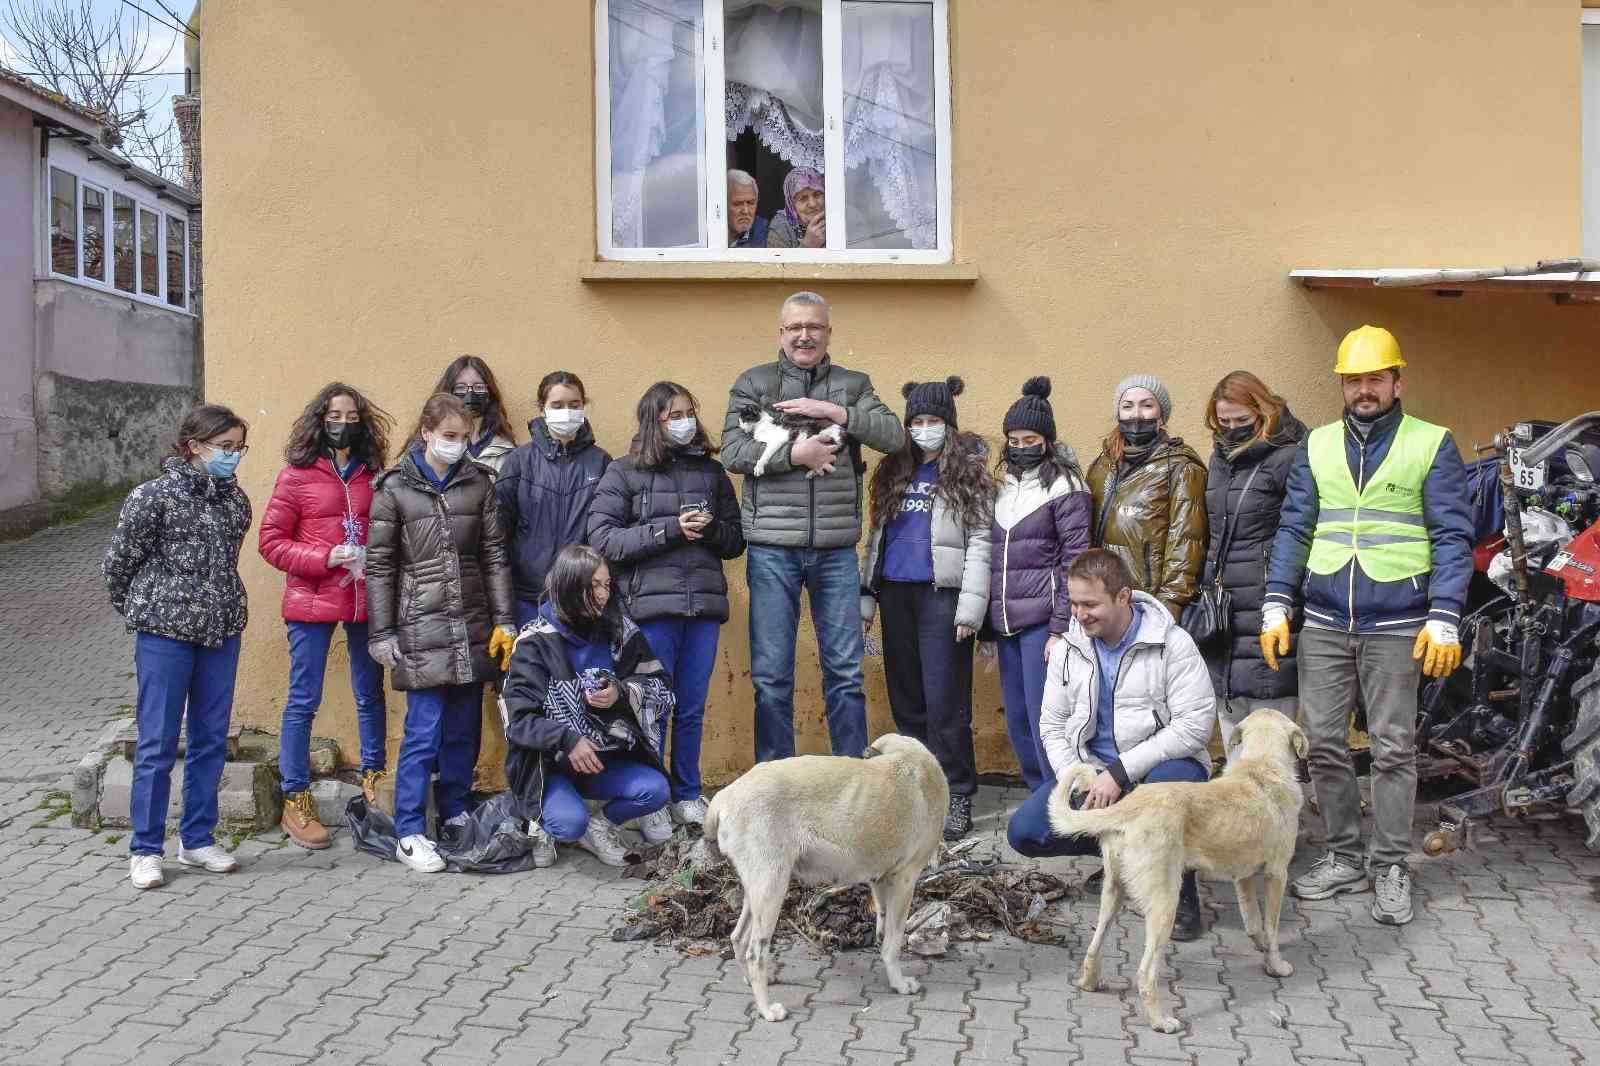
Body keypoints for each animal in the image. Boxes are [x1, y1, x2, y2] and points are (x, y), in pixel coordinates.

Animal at [704, 729, 947, 1024]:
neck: (909, 756)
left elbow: (883, 928)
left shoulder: (880, 880)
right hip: (772, 888)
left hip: (757, 890)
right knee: (755, 953)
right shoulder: (905, 880)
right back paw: (767, 1009)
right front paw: (899, 983)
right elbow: (894, 941)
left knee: (738, 938)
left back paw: (754, 981)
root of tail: (725, 797)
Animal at [1049, 704, 1312, 1030]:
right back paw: (1160, 1021)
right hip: (1164, 903)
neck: (1261, 766)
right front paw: (1276, 965)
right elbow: (1272, 928)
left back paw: (1090, 982)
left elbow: (1253, 922)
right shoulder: (1277, 874)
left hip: (1113, 892)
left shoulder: (1244, 877)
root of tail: (1128, 806)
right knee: (1145, 974)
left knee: (1093, 948)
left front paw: (1261, 947)